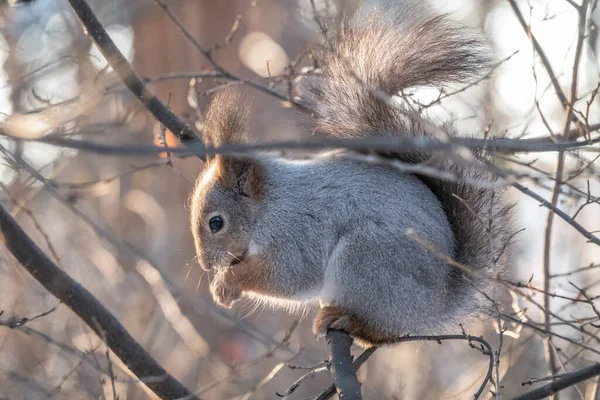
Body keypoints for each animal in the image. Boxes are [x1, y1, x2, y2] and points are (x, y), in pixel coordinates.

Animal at [190, 2, 512, 346]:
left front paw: (229, 282)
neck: (268, 204)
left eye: (216, 223)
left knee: (383, 330)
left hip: (366, 259)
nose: (205, 265)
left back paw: (346, 321)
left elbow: (286, 276)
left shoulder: (295, 233)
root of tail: (436, 307)